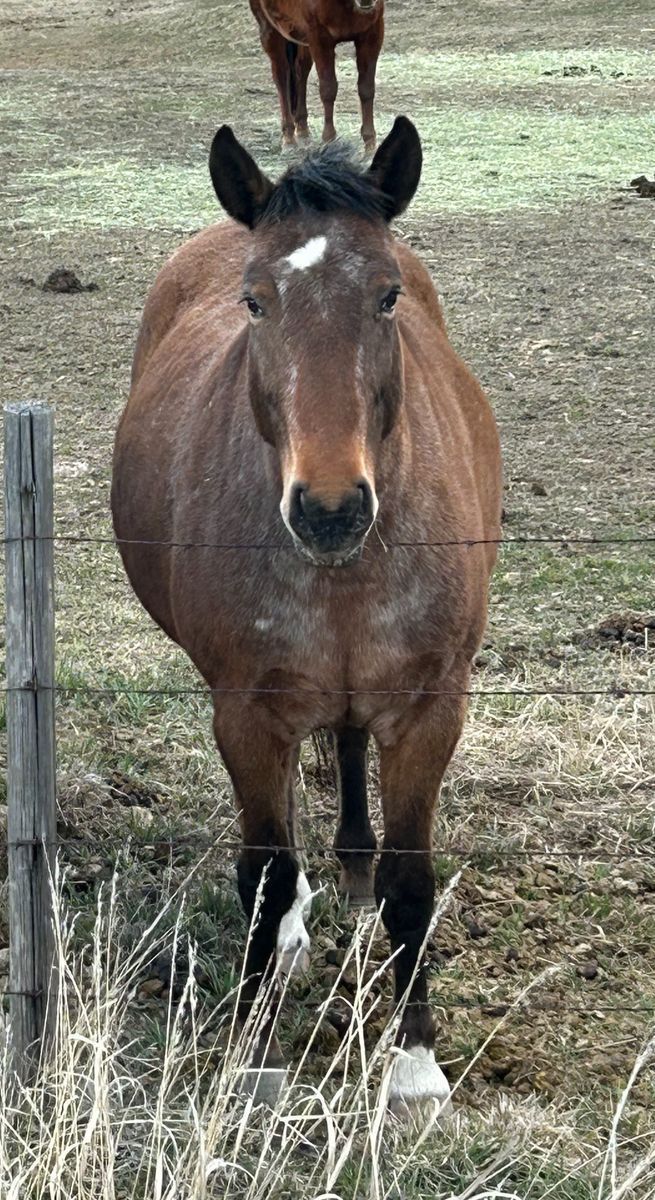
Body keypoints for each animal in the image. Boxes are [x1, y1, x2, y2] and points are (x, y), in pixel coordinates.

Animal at [111, 115, 502, 1113]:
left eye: (387, 295)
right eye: (255, 303)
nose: (329, 510)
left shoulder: (430, 708)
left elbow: (411, 879)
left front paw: (415, 1066)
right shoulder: (246, 712)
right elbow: (263, 866)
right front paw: (251, 1055)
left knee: (351, 749)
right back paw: (291, 930)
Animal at [248, 0, 384, 151]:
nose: (366, 1)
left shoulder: (372, 34)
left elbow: (366, 90)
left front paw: (369, 144)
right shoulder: (319, 38)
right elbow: (328, 89)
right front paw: (329, 139)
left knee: (301, 70)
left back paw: (302, 129)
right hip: (270, 30)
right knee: (281, 76)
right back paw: (289, 139)